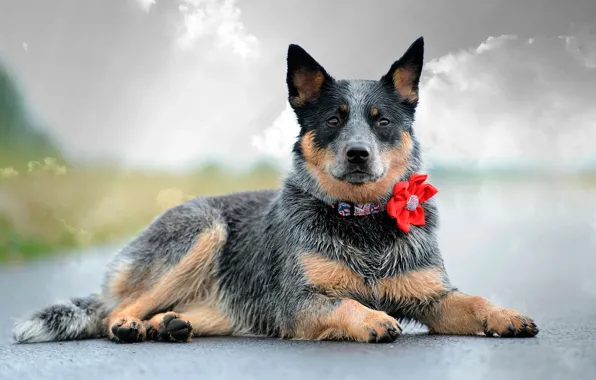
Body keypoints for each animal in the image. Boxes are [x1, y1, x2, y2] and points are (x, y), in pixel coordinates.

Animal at [14, 37, 536, 344]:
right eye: (333, 120)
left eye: (382, 121)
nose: (358, 154)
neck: (362, 223)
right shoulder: (297, 302)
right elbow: (346, 302)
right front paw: (371, 319)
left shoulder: (432, 296)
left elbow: (473, 302)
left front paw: (506, 315)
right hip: (203, 232)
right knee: (115, 309)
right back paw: (130, 324)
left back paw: (168, 324)